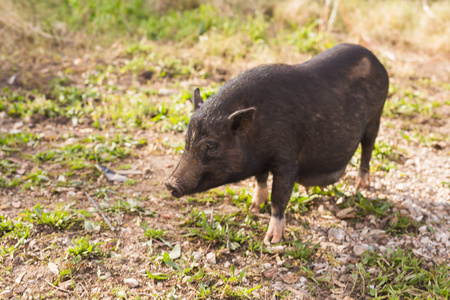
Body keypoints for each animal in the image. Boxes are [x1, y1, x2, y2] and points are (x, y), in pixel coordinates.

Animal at [166, 42, 390, 244]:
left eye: (211, 146)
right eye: (187, 140)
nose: (169, 183)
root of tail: (376, 60)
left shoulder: (287, 156)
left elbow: (279, 197)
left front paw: (272, 239)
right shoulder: (261, 160)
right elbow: (260, 179)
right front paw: (254, 208)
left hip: (375, 117)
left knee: (368, 147)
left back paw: (361, 186)